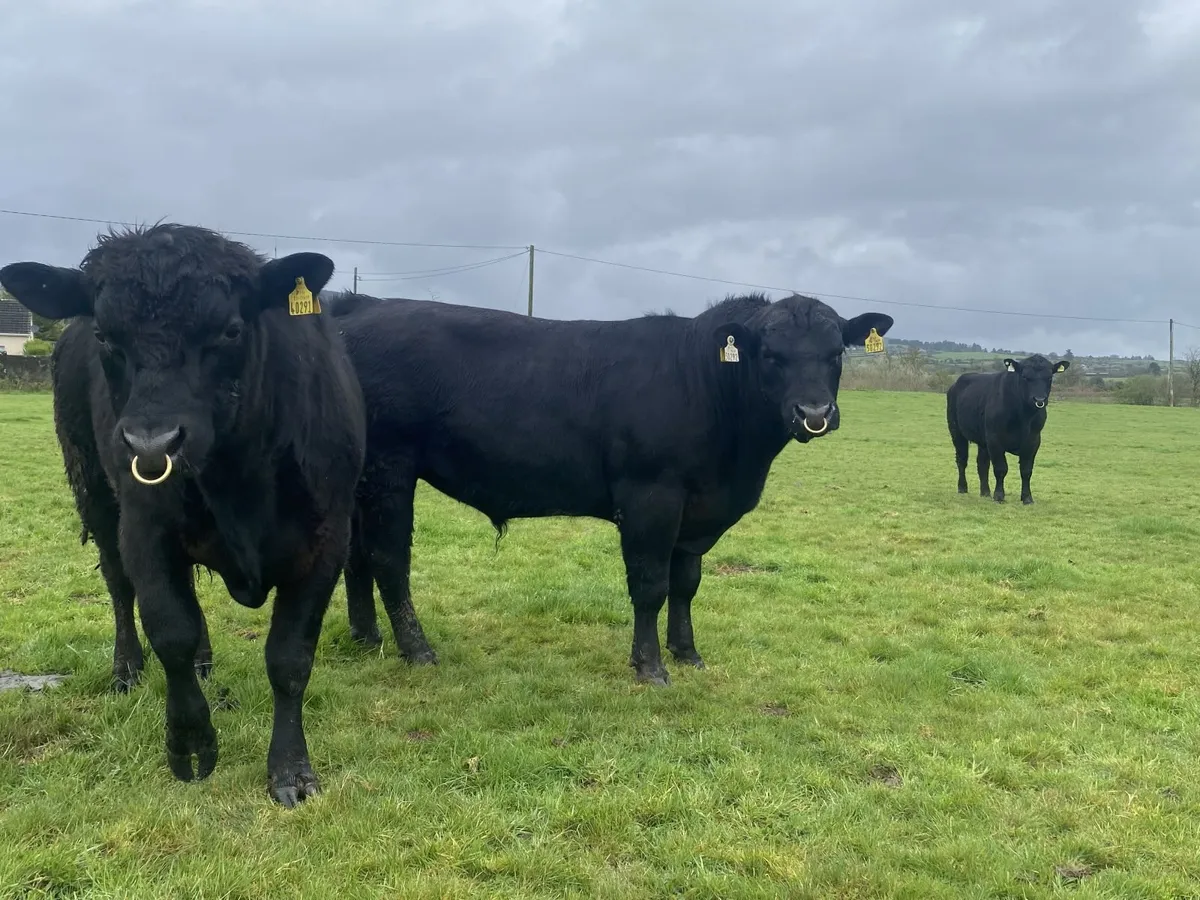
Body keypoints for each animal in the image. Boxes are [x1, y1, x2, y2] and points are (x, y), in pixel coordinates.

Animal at [0, 224, 366, 806]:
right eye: (105, 335)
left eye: (231, 330)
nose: (152, 445)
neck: (240, 477)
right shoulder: (144, 530)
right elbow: (170, 629)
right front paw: (191, 742)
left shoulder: (328, 538)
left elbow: (289, 658)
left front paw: (290, 770)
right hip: (95, 493)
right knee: (119, 589)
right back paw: (126, 668)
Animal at [323, 290, 894, 686]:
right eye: (771, 354)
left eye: (835, 354)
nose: (814, 413)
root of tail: (359, 306)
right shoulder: (650, 496)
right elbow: (651, 585)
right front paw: (651, 667)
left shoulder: (696, 511)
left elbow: (686, 584)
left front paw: (688, 653)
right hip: (390, 468)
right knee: (388, 558)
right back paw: (417, 650)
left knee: (356, 556)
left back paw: (366, 637)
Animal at [946, 353, 1069, 504]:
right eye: (1025, 377)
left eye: (1049, 377)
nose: (1039, 400)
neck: (1023, 416)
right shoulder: (995, 439)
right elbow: (1000, 469)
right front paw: (999, 496)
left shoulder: (1033, 441)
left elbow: (1026, 471)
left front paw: (1027, 498)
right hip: (956, 431)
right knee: (962, 459)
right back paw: (962, 487)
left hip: (983, 440)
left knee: (982, 464)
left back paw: (985, 492)